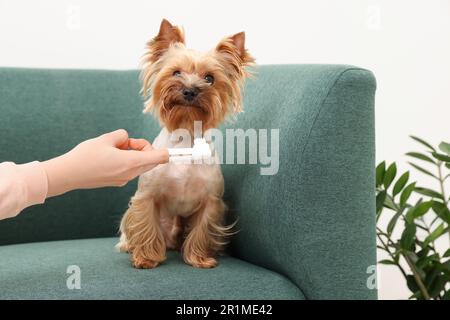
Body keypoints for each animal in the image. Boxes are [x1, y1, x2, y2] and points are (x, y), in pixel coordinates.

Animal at [117, 18, 253, 268]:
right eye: (176, 72)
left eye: (209, 78)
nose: (189, 90)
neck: (185, 136)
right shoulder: (147, 196)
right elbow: (146, 226)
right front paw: (146, 258)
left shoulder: (210, 201)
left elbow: (201, 231)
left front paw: (199, 258)